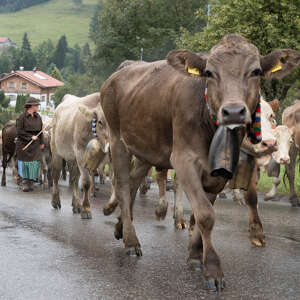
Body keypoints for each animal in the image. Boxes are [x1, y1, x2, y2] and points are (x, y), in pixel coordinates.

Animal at [100, 34, 300, 290]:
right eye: (209, 73)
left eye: (255, 71)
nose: (233, 111)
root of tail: (121, 71)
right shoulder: (183, 160)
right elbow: (205, 214)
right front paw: (213, 269)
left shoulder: (219, 171)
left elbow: (206, 209)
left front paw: (195, 255)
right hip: (118, 141)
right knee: (124, 185)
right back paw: (131, 241)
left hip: (147, 148)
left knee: (135, 182)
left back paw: (120, 227)